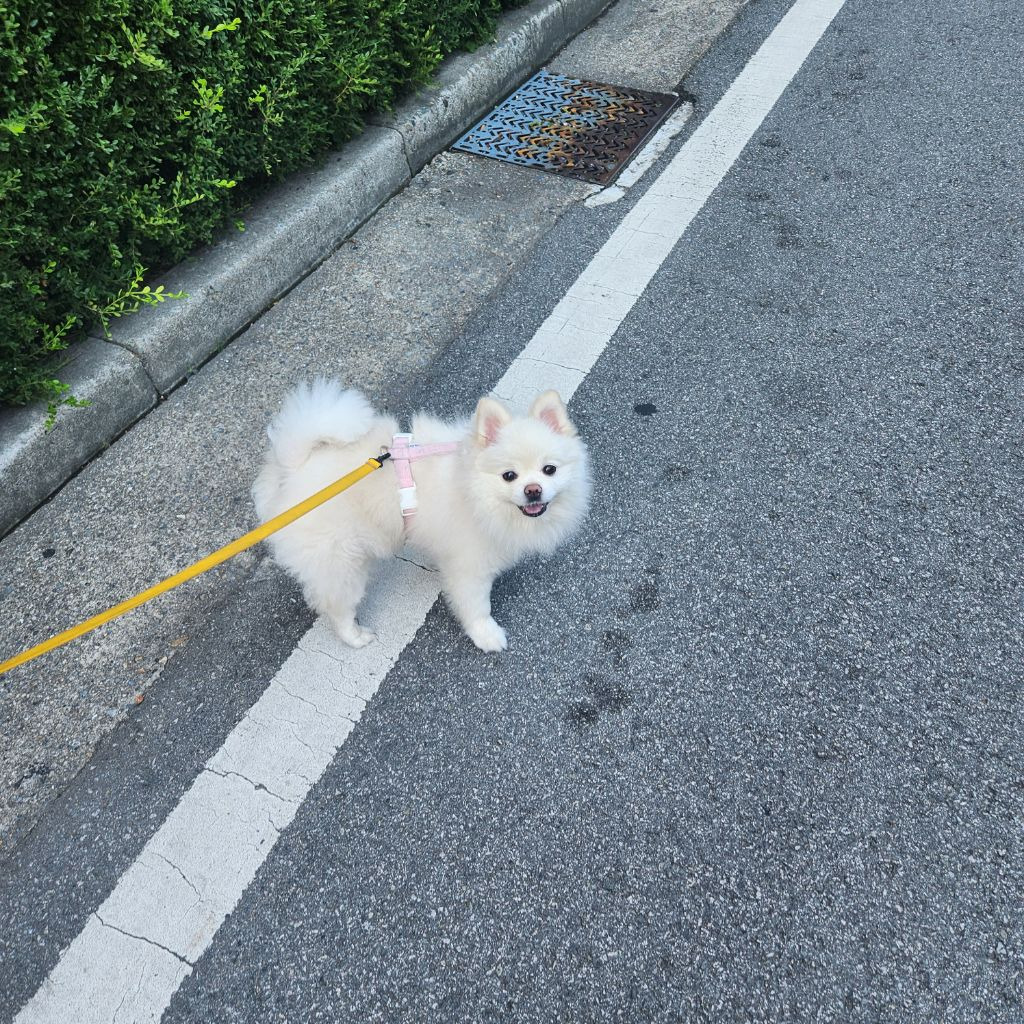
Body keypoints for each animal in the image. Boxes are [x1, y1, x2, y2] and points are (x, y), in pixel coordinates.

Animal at [252, 380, 591, 651]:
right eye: (509, 476)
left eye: (549, 469)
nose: (533, 490)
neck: (475, 493)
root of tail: (292, 468)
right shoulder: (469, 566)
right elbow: (476, 606)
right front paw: (487, 636)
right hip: (341, 560)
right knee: (337, 606)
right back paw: (356, 636)